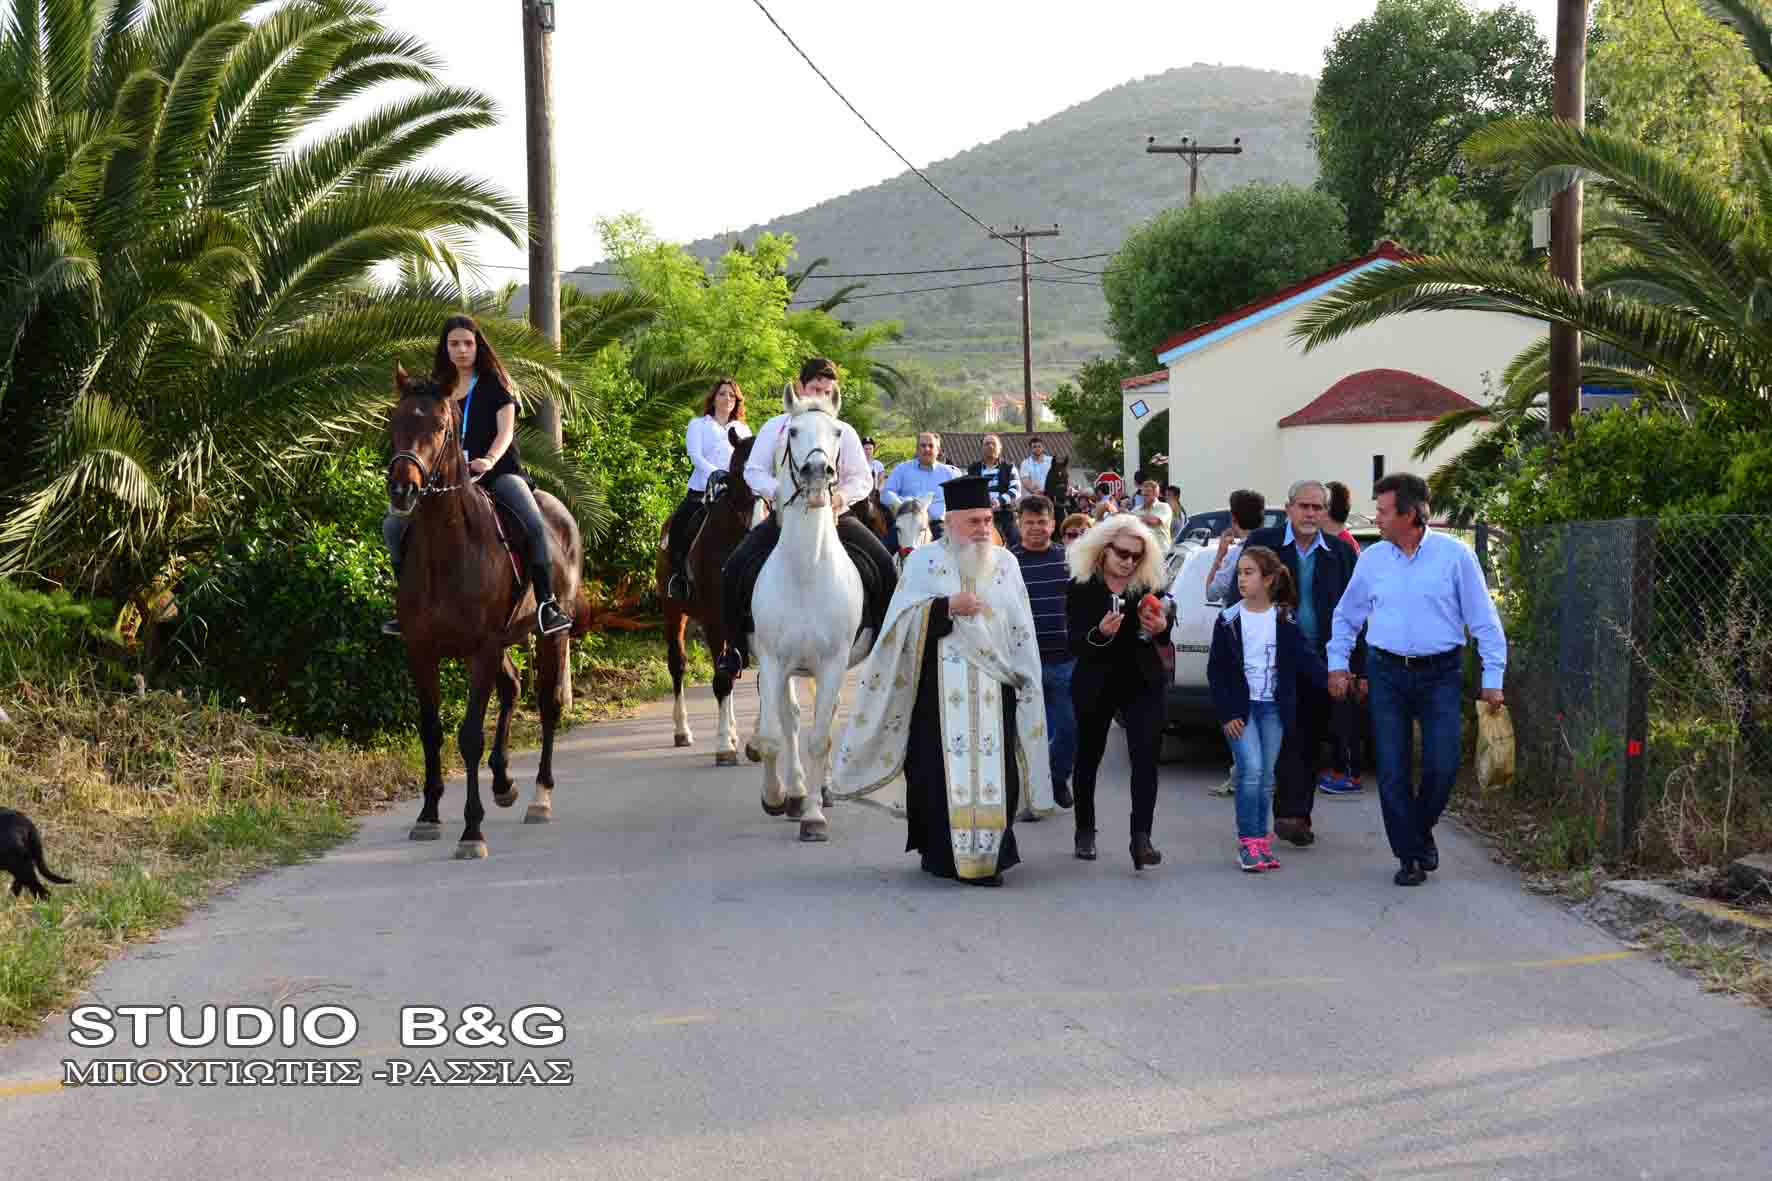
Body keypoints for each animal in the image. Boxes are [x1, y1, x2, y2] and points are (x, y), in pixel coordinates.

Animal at [385, 363, 589, 859]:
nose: (402, 489)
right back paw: (503, 782)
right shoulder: (422, 652)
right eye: (395, 422)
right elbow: (432, 730)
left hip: (548, 636)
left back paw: (539, 797)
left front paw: (471, 830)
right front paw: (428, 815)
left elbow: (469, 736)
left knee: (548, 704)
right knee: (513, 686)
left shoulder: (481, 648)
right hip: (504, 640)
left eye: (441, 427)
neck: (446, 549)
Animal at [655, 431, 760, 765]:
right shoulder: (715, 619)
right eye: (740, 472)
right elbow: (722, 679)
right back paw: (683, 731)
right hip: (673, 610)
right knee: (678, 664)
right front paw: (724, 747)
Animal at [747, 383, 868, 842]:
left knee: (818, 723)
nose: (819, 473)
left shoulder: (833, 663)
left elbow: (820, 739)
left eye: (837, 432)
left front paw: (815, 817)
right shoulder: (772, 659)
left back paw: (818, 794)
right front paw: (776, 798)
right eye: (794, 430)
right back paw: (795, 793)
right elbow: (771, 737)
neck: (807, 571)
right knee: (790, 719)